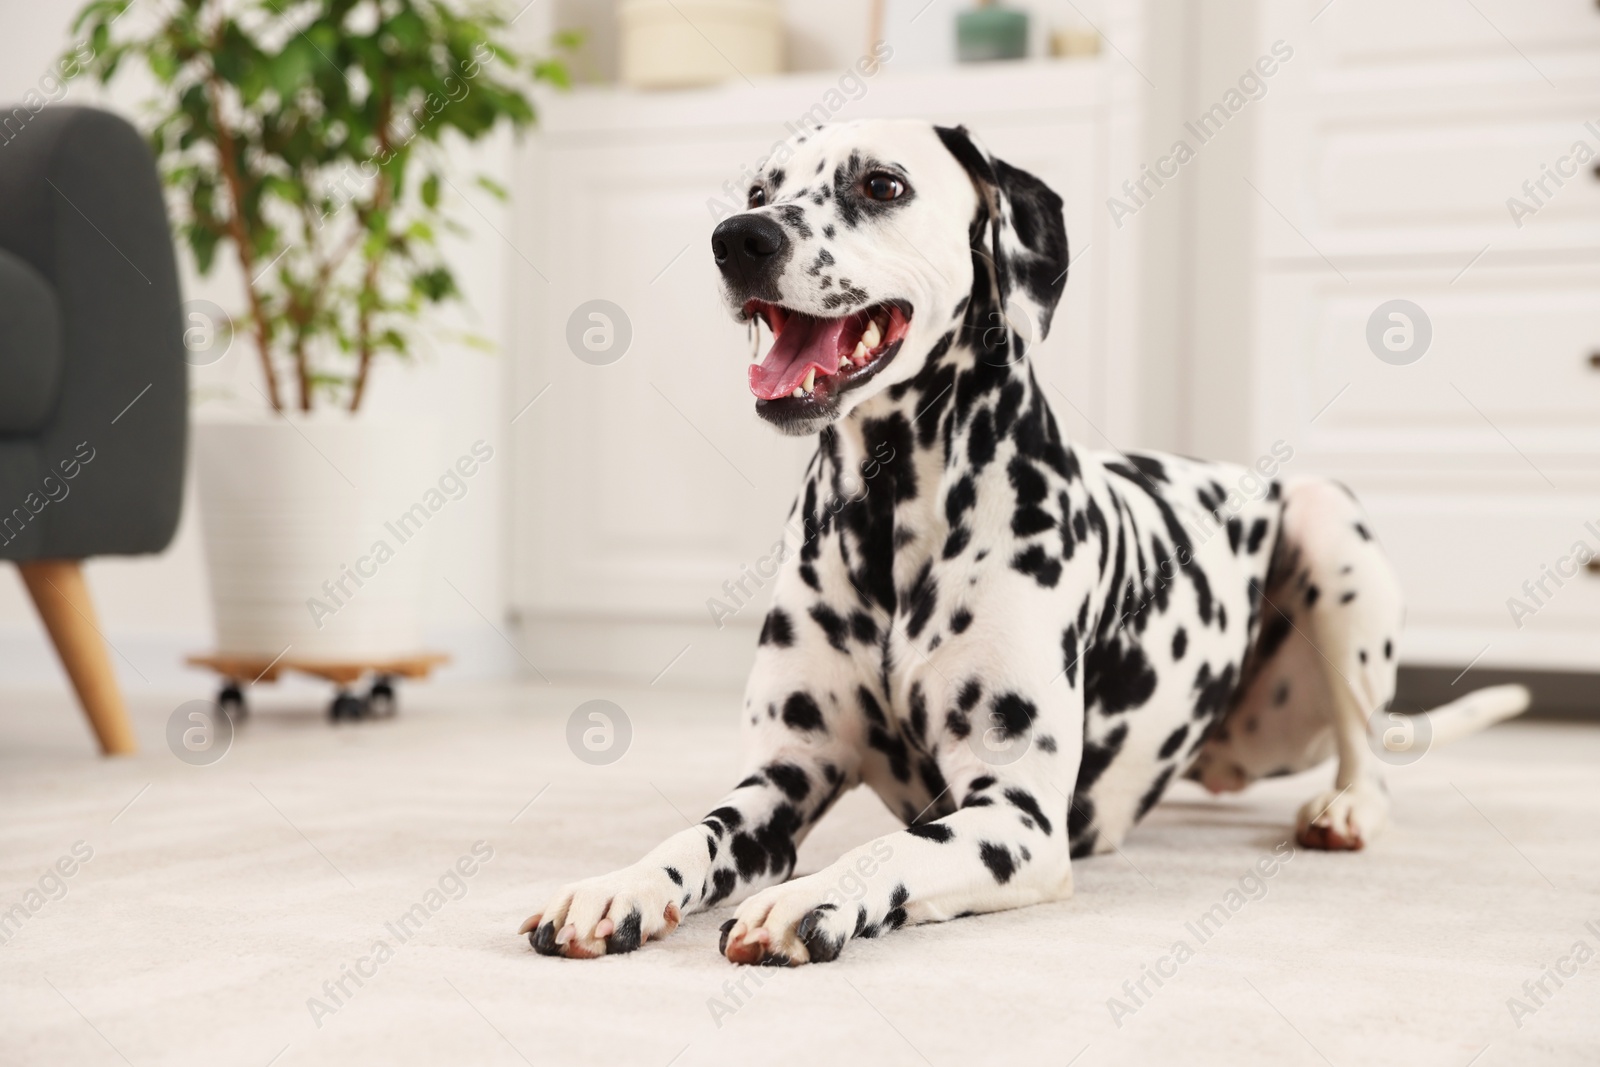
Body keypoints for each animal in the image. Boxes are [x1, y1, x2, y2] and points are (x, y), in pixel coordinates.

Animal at [518, 119, 1529, 966]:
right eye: (761, 186)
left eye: (881, 183)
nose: (740, 237)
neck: (891, 518)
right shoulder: (781, 779)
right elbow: (695, 832)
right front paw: (617, 886)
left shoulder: (1018, 816)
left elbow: (896, 845)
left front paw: (813, 897)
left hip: (1331, 532)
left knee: (1372, 757)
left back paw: (1345, 805)